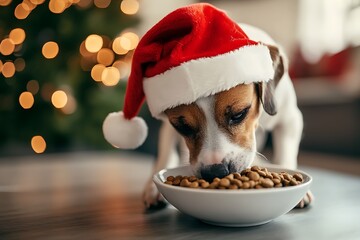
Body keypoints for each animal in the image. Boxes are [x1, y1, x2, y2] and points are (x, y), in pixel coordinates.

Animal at [143, 23, 312, 209]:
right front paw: (153, 187)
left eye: (239, 114)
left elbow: (285, 151)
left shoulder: (290, 119)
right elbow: (166, 153)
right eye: (184, 127)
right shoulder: (170, 126)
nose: (216, 171)